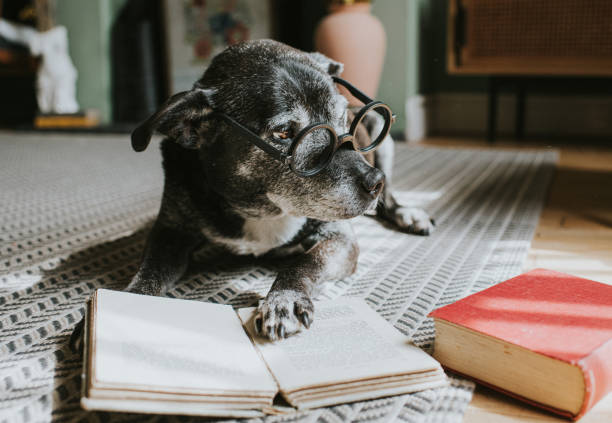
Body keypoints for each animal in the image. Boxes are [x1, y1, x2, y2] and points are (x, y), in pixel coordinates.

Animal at [72, 39, 435, 347]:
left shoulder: (339, 237)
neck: (260, 206)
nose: (374, 182)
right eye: (284, 133)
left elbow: (305, 262)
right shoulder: (170, 233)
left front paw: (284, 300)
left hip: (381, 135)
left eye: (342, 115)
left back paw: (409, 213)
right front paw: (109, 310)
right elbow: (147, 275)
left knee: (391, 200)